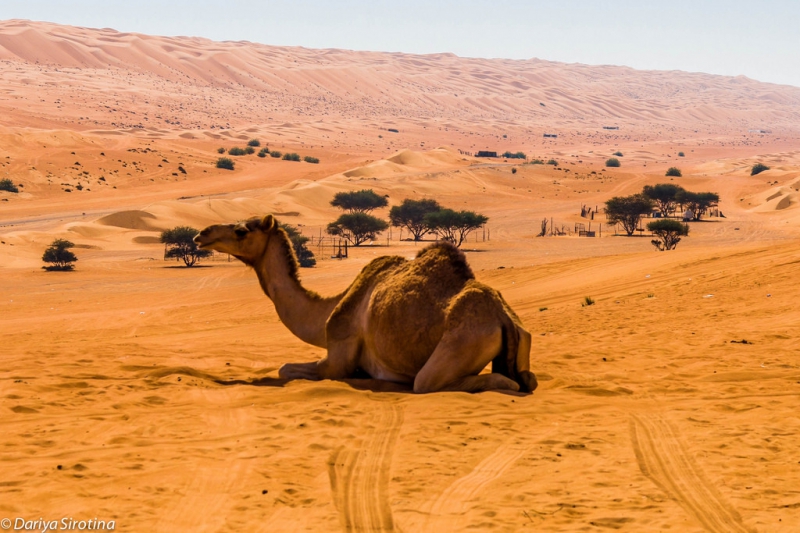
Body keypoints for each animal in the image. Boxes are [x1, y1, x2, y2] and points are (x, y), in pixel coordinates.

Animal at [195, 214, 536, 392]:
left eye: (241, 231)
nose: (201, 234)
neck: (326, 312)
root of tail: (504, 319)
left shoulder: (338, 355)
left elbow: (285, 369)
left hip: (460, 343)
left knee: (442, 382)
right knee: (526, 378)